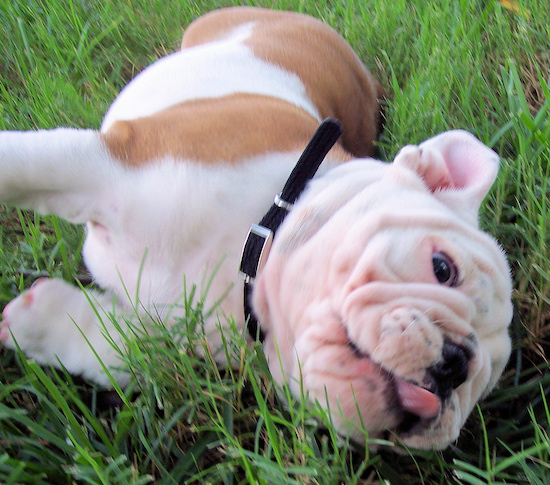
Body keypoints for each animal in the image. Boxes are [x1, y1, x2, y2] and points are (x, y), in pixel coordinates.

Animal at [0, 6, 512, 450]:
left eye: (481, 386)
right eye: (443, 268)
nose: (457, 364)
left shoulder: (183, 338)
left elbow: (120, 348)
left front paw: (38, 321)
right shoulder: (109, 163)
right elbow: (24, 166)